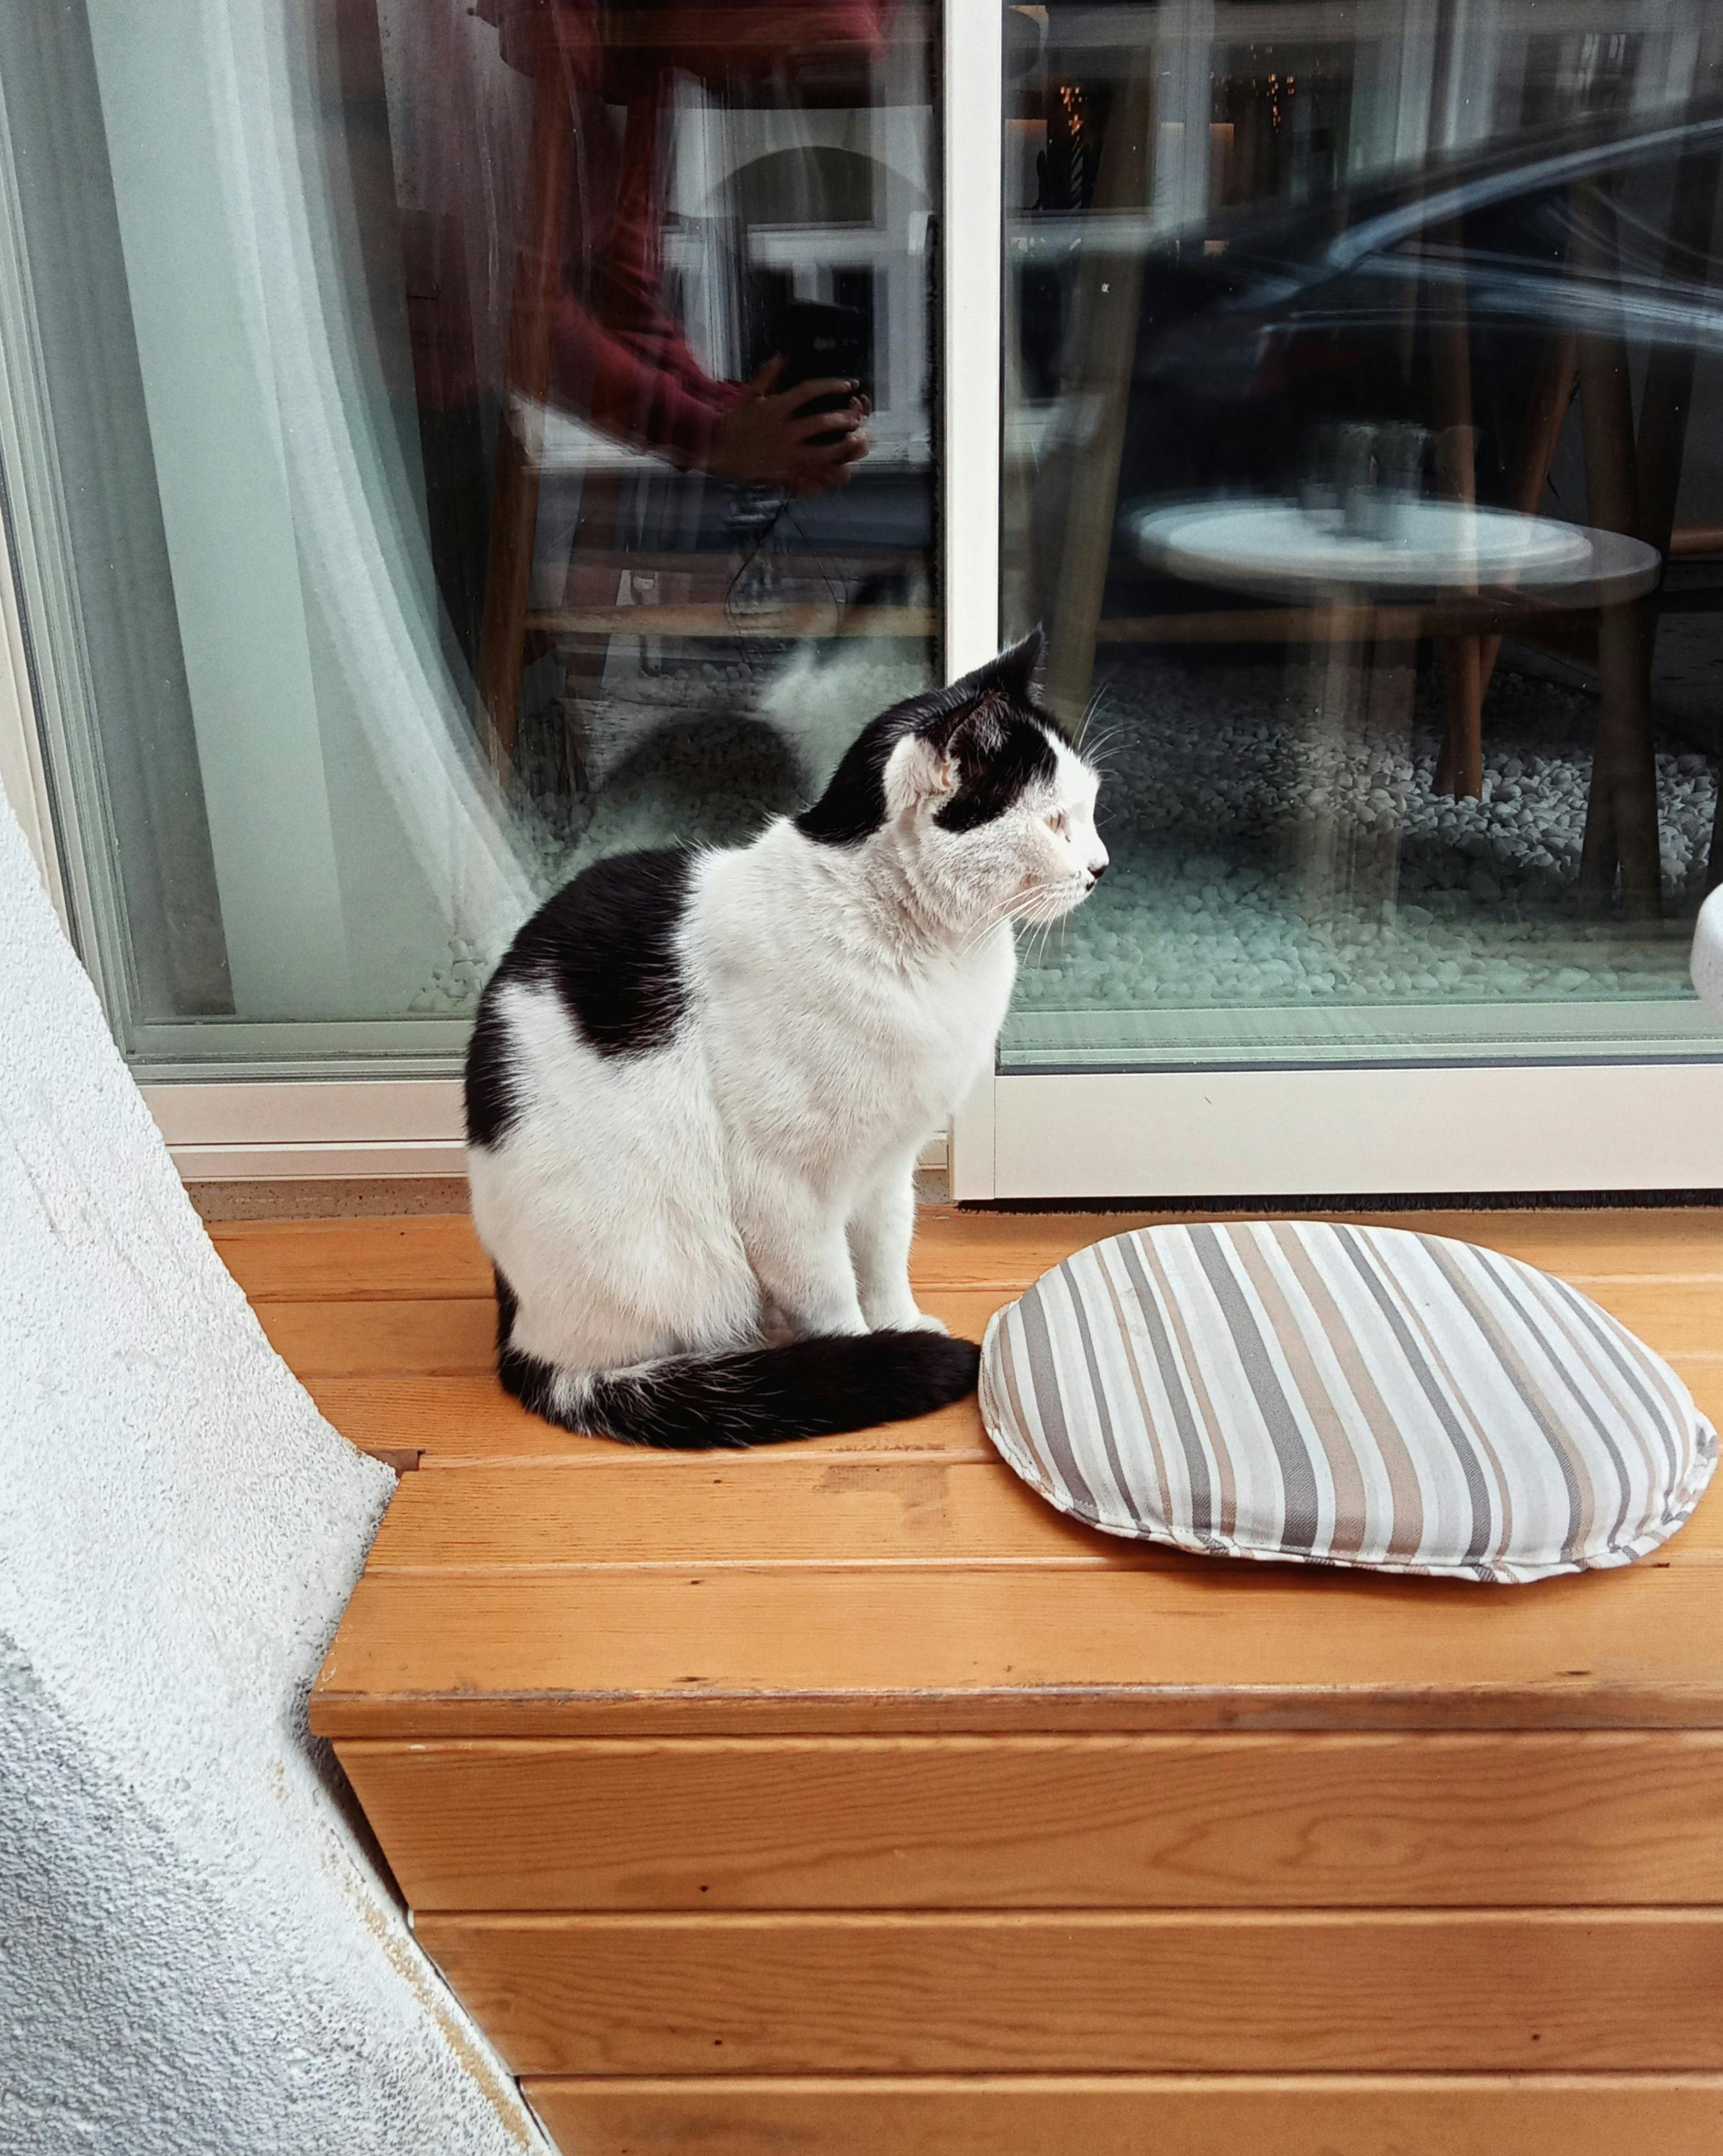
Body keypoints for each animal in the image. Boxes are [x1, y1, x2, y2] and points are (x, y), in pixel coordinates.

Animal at [464, 630, 1107, 1448]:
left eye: (1089, 808)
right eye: (1055, 822)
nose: (1100, 868)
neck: (927, 954)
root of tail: (519, 1340)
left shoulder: (888, 1168)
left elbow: (886, 1257)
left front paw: (900, 1323)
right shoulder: (783, 1188)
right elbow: (830, 1291)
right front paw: (868, 1353)